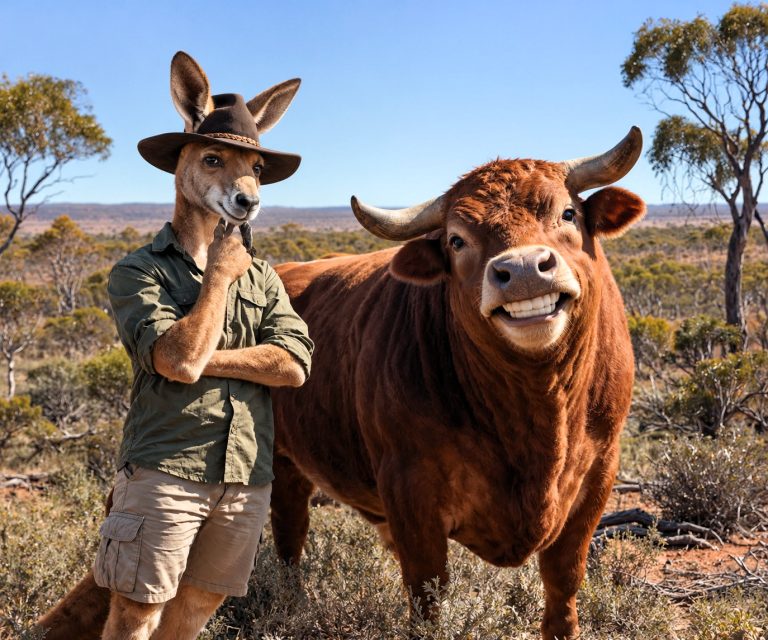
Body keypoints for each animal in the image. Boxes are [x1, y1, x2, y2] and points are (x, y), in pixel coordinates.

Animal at [268, 128, 645, 640]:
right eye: (456, 240)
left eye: (567, 213)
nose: (523, 270)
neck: (537, 406)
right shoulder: (410, 491)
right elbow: (427, 594)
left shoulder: (599, 473)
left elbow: (563, 579)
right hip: (276, 459)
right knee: (289, 533)